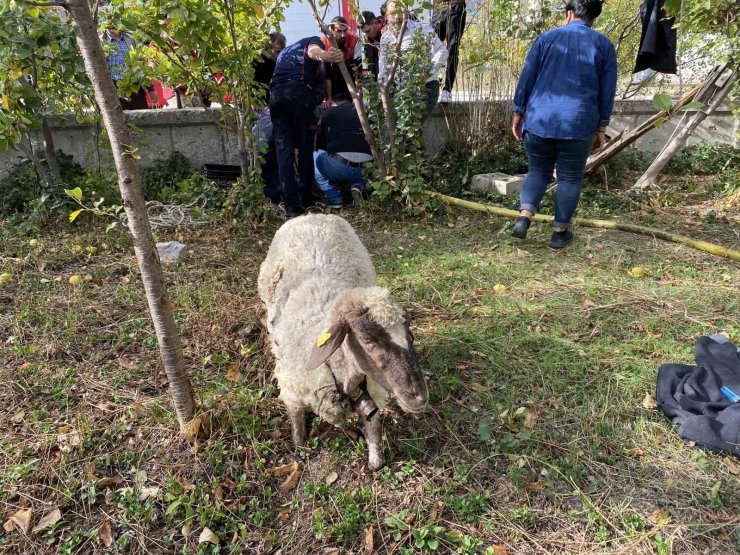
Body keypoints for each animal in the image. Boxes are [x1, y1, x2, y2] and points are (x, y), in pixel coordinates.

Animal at [258, 213, 428, 470]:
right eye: (366, 339)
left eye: (410, 334)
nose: (419, 396)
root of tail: (312, 214)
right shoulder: (292, 391)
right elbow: (298, 434)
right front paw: (299, 444)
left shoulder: (372, 392)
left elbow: (374, 438)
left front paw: (374, 458)